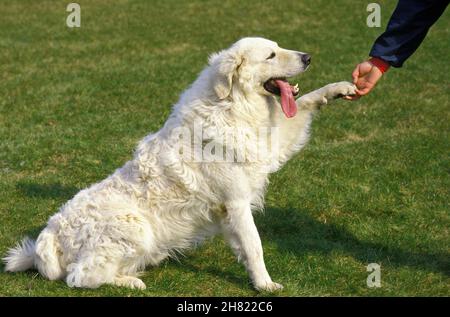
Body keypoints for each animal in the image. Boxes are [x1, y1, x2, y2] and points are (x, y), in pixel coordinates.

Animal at [2, 37, 356, 292]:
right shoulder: (237, 203)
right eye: (271, 55)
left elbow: (305, 102)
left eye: (280, 47)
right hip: (134, 226)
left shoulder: (269, 145)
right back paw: (130, 283)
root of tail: (47, 239)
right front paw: (265, 284)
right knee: (80, 277)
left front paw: (339, 88)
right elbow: (255, 246)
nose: (308, 57)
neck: (230, 104)